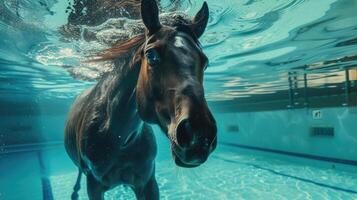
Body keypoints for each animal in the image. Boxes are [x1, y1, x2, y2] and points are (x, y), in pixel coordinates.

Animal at [63, 0, 217, 199]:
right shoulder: (94, 187)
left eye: (205, 62)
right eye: (151, 55)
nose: (200, 135)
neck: (118, 138)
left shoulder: (147, 183)